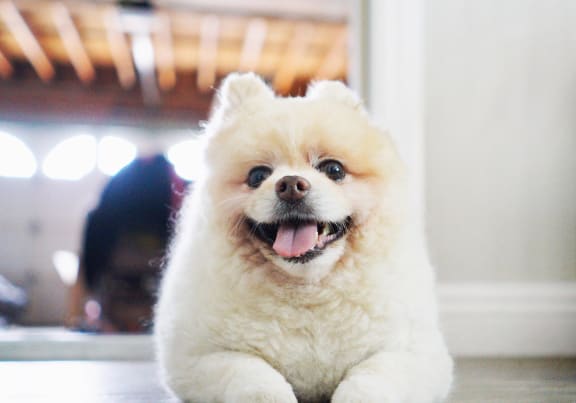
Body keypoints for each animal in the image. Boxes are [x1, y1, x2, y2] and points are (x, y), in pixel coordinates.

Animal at [155, 73, 452, 403]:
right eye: (257, 176)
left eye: (333, 169)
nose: (291, 185)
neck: (307, 288)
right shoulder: (196, 358)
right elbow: (249, 373)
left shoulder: (417, 354)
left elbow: (373, 376)